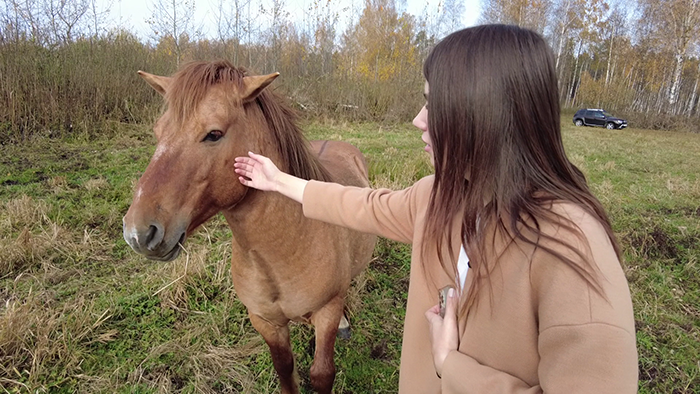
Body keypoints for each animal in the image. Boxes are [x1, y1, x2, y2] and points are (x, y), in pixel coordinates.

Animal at [123, 60, 380, 392]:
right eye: (158, 131)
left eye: (214, 134)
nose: (138, 233)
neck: (288, 247)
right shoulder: (265, 321)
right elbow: (284, 368)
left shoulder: (327, 312)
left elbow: (322, 373)